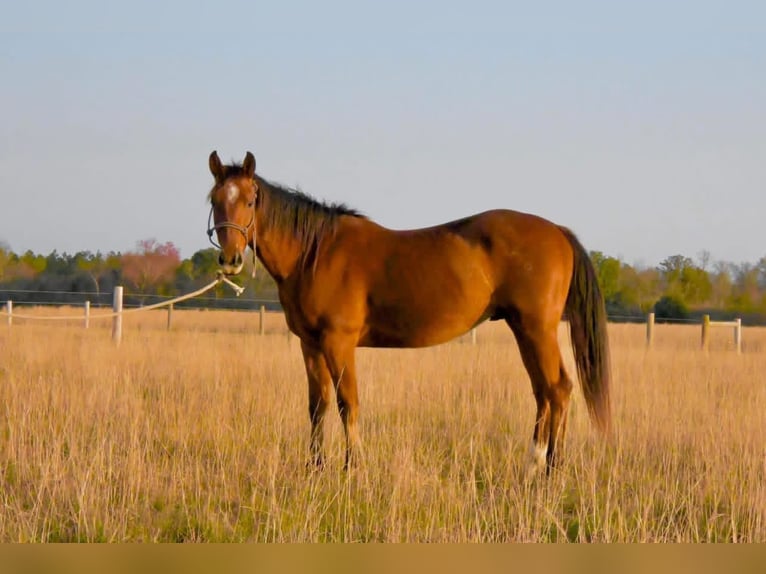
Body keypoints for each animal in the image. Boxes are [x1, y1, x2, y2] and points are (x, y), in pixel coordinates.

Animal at [206, 150, 611, 477]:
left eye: (250, 200)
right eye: (214, 199)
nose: (230, 259)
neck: (315, 252)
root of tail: (557, 231)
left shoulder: (339, 342)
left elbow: (347, 403)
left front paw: (353, 468)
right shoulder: (310, 345)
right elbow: (317, 406)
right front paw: (315, 468)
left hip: (536, 330)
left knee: (557, 389)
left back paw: (546, 468)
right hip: (524, 330)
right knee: (544, 391)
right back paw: (539, 466)